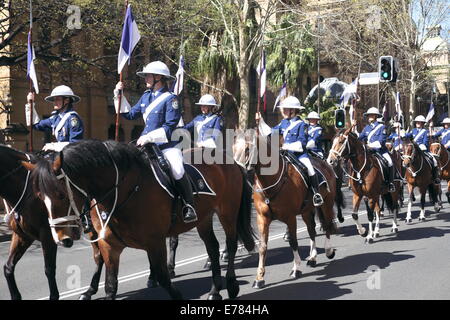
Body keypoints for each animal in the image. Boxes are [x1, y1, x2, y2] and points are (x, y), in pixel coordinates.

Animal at [24, 140, 255, 300]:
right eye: (39, 197)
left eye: (61, 195)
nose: (61, 238)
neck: (122, 192)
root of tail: (229, 159)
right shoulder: (109, 246)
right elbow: (110, 285)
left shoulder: (155, 242)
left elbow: (163, 276)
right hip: (204, 219)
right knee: (213, 248)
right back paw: (215, 291)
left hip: (227, 213)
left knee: (230, 244)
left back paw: (231, 285)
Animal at [234, 130, 340, 288]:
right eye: (232, 149)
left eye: (247, 149)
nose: (239, 173)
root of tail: (324, 162)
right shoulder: (262, 219)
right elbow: (263, 247)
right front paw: (259, 278)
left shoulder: (290, 218)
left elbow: (293, 242)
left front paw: (296, 268)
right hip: (306, 211)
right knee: (312, 230)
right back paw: (313, 258)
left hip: (326, 203)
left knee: (327, 225)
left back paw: (328, 251)